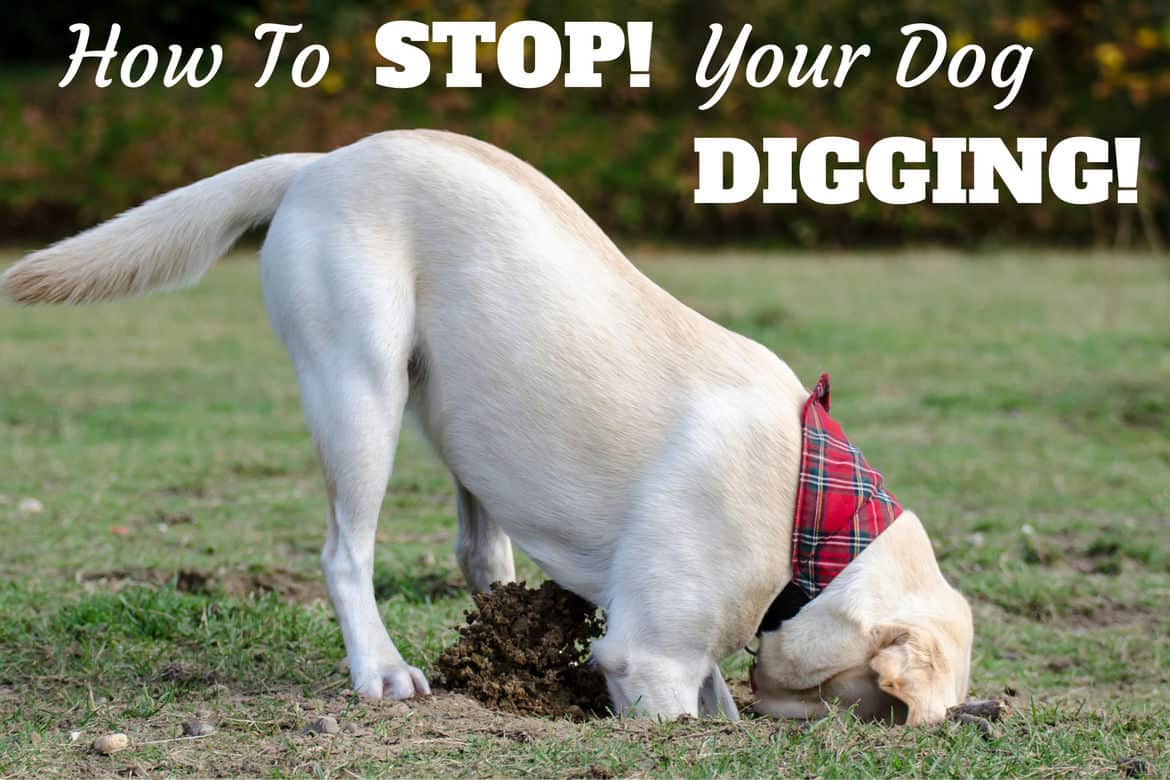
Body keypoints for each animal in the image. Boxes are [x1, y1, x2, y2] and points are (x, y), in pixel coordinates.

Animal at [0, 129, 968, 725]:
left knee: (477, 552)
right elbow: (685, 708)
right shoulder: (647, 659)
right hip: (360, 389)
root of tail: (325, 159)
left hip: (464, 413)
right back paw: (381, 670)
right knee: (345, 553)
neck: (821, 520)